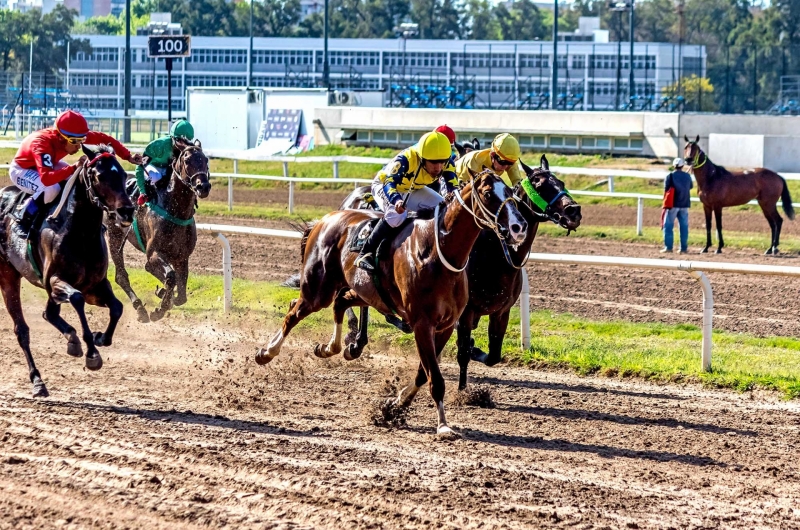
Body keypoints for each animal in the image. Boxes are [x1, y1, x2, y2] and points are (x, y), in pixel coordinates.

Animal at [0, 144, 134, 396]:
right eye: (100, 176)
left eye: (122, 174)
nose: (127, 211)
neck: (80, 233)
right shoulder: (55, 280)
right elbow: (77, 299)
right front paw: (91, 352)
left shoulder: (95, 285)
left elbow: (117, 308)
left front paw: (100, 338)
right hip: (8, 275)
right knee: (22, 330)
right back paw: (38, 381)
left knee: (49, 313)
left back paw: (71, 341)